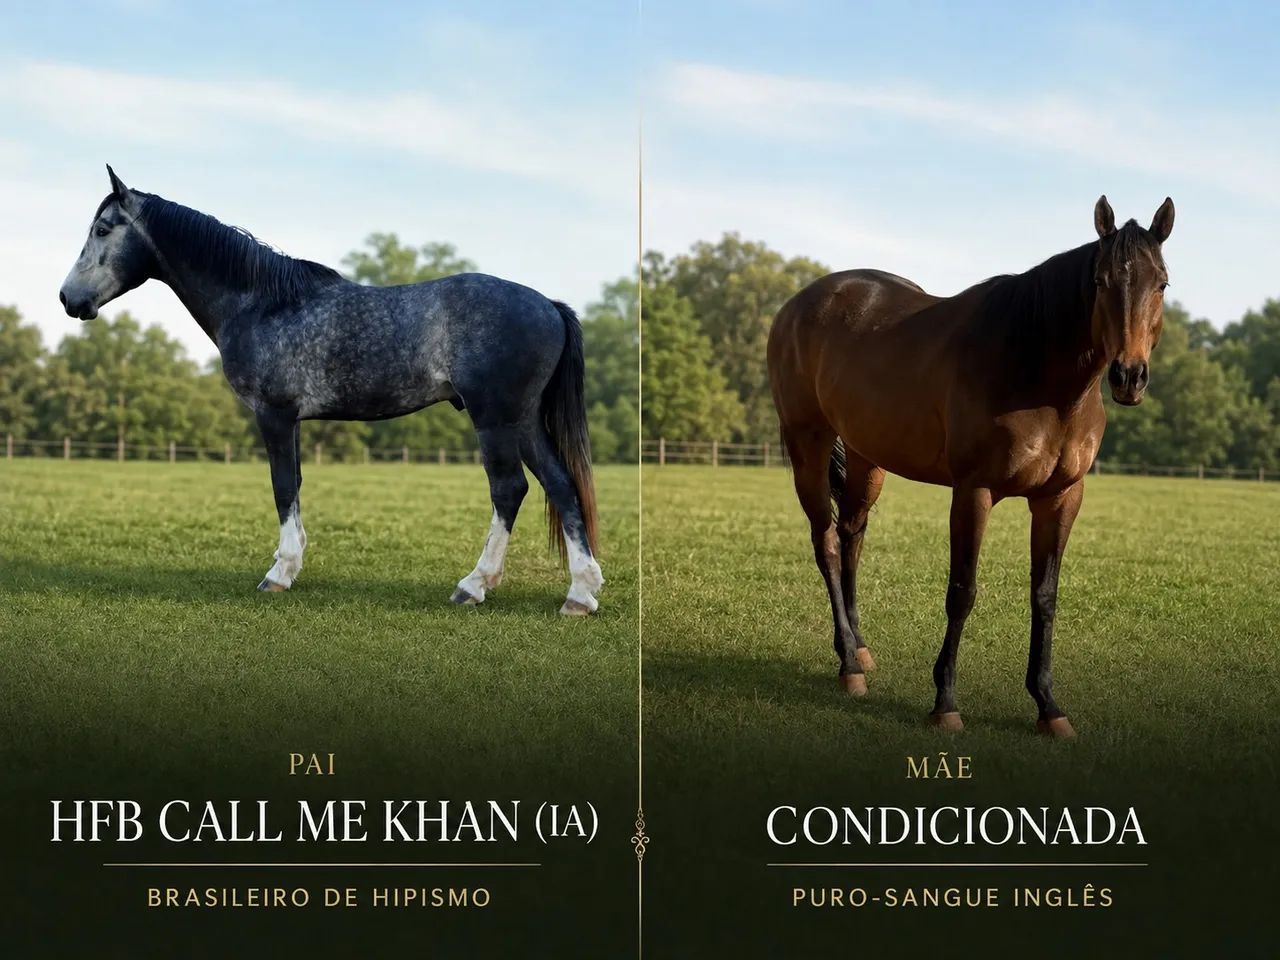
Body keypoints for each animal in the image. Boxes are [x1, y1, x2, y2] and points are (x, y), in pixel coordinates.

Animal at [59, 166, 604, 615]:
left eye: (103, 229)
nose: (68, 298)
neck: (262, 303)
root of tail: (549, 306)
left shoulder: (274, 414)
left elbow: (282, 486)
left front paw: (279, 573)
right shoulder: (293, 421)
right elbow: (296, 485)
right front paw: (292, 562)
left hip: (494, 419)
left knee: (509, 489)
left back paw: (474, 585)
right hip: (524, 420)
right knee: (561, 485)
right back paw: (580, 593)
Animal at [767, 195, 1174, 736]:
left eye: (1162, 283)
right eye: (1101, 280)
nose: (1129, 377)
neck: (1037, 373)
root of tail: (797, 304)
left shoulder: (1060, 498)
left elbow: (1045, 596)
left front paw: (1048, 706)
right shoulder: (973, 492)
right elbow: (962, 592)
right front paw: (945, 703)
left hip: (865, 456)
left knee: (853, 534)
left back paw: (858, 647)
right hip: (807, 443)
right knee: (828, 543)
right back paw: (849, 666)